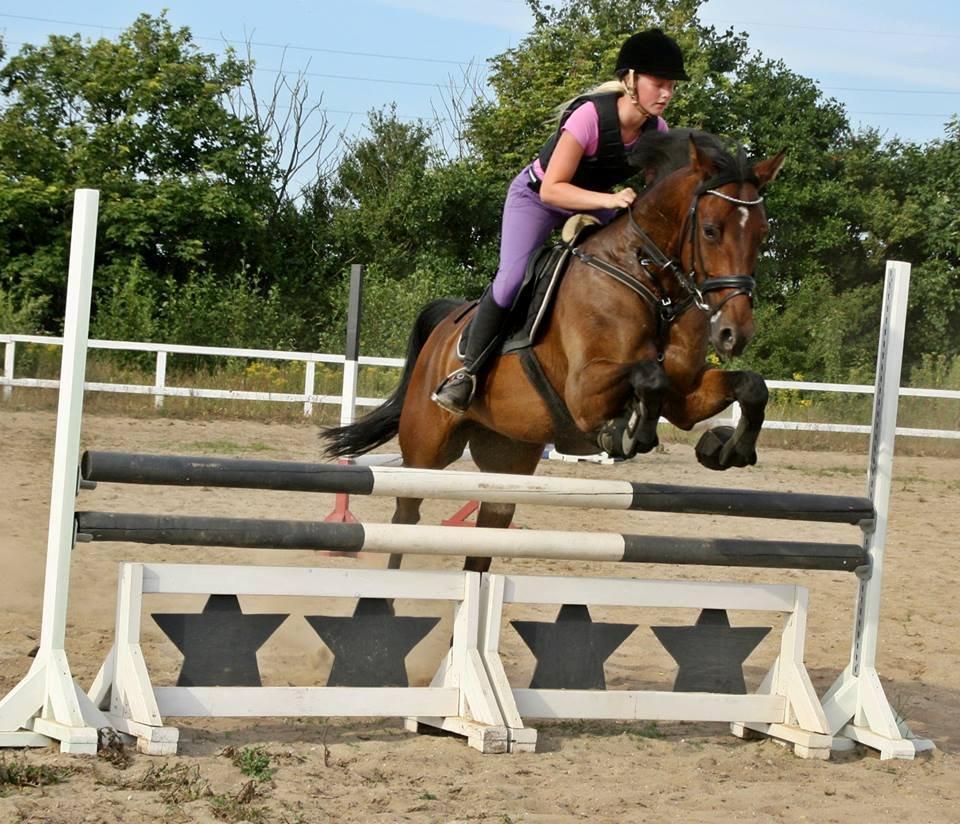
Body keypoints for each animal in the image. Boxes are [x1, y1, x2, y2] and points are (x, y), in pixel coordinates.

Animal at [322, 132, 788, 576]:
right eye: (710, 230)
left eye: (764, 234)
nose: (733, 334)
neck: (650, 281)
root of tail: (445, 324)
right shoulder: (584, 391)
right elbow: (647, 377)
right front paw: (627, 432)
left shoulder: (685, 396)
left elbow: (750, 386)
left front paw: (725, 448)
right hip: (427, 449)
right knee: (405, 518)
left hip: (507, 454)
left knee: (488, 530)